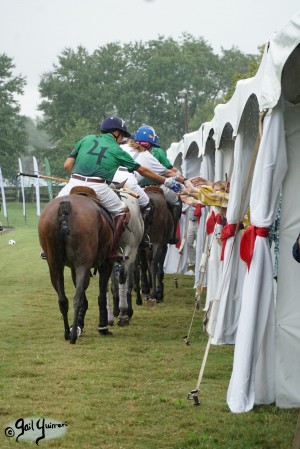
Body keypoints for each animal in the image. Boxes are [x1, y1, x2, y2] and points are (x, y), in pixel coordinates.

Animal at [38, 192, 114, 344]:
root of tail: (65, 207)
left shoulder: (73, 268)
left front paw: (78, 325)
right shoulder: (106, 263)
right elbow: (101, 296)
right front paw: (103, 327)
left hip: (54, 265)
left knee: (63, 299)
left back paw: (68, 333)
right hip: (82, 265)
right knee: (77, 298)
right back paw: (73, 336)